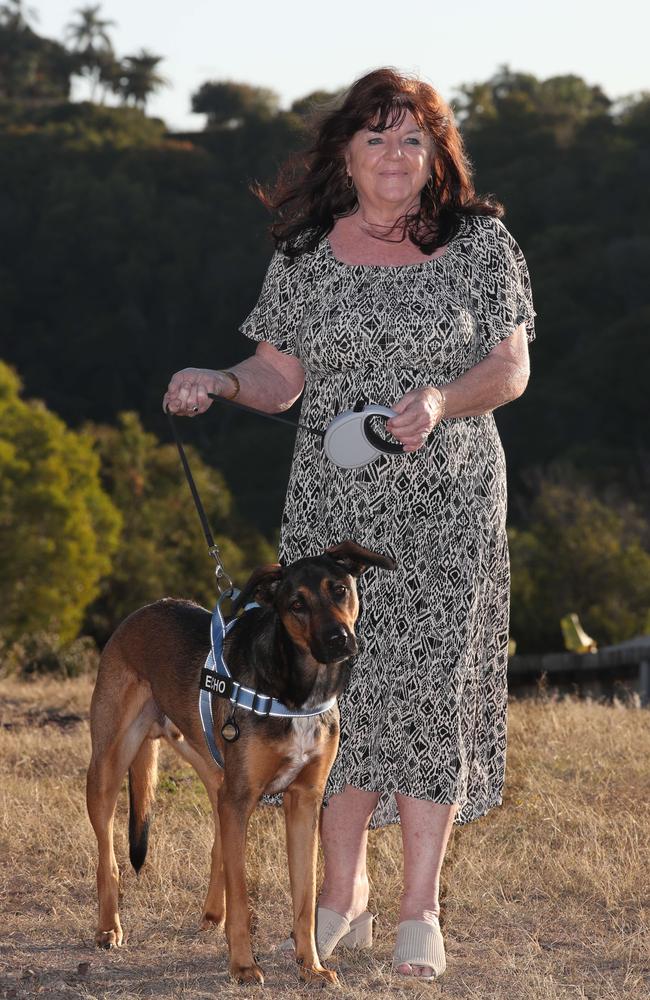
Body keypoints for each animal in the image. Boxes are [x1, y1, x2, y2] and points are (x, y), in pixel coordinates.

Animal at [86, 540, 394, 984]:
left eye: (339, 590)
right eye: (296, 604)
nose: (339, 640)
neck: (295, 692)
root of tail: (142, 611)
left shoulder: (304, 801)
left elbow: (305, 898)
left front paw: (311, 966)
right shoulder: (242, 798)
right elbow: (243, 893)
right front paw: (244, 965)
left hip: (214, 771)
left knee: (218, 843)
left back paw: (212, 914)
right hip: (109, 767)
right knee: (108, 855)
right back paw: (109, 927)